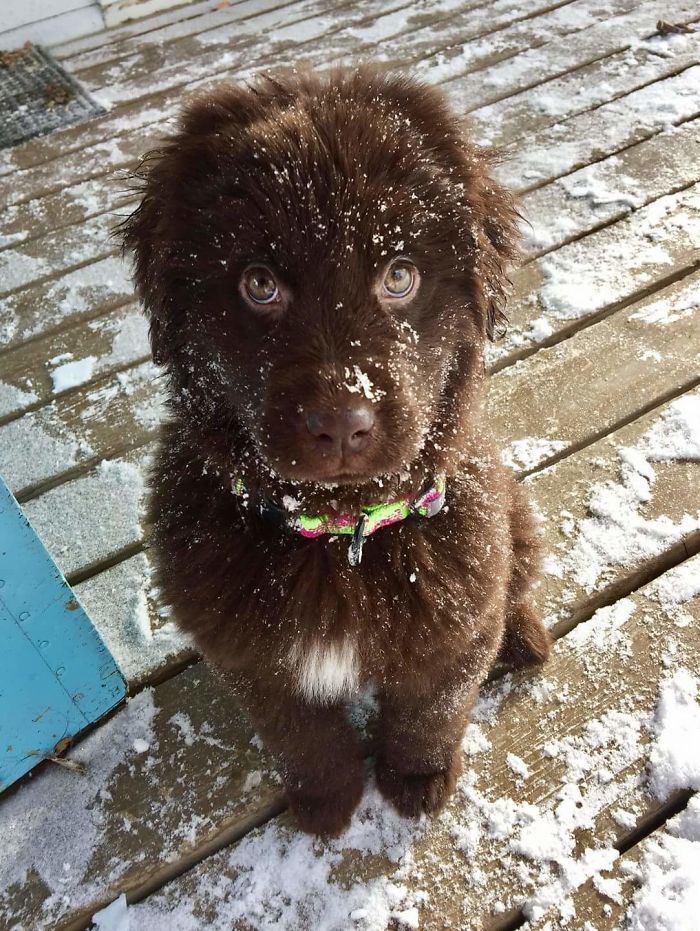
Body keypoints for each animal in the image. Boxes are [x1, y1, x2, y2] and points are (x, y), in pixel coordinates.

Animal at [124, 67, 552, 836]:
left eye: (399, 275)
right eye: (258, 283)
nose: (343, 423)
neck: (338, 535)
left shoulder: (454, 625)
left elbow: (429, 712)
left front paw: (417, 779)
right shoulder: (254, 661)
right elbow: (302, 734)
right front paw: (327, 802)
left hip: (512, 520)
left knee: (518, 582)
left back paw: (524, 634)